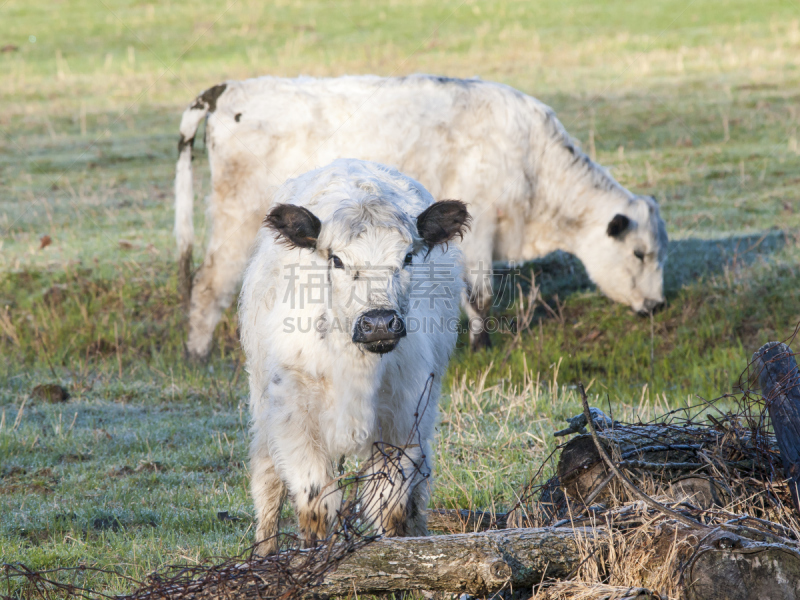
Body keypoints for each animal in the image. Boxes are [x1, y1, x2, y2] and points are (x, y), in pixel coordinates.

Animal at [177, 72, 668, 358]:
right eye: (640, 254)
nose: (657, 305)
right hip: (235, 218)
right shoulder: (479, 229)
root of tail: (225, 91)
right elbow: (481, 295)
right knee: (208, 285)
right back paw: (197, 354)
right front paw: (481, 346)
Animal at [241, 158, 472, 552]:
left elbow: (391, 507)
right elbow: (315, 505)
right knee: (267, 481)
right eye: (336, 260)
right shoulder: (292, 416)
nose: (378, 323)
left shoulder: (405, 418)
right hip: (262, 404)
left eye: (407, 257)